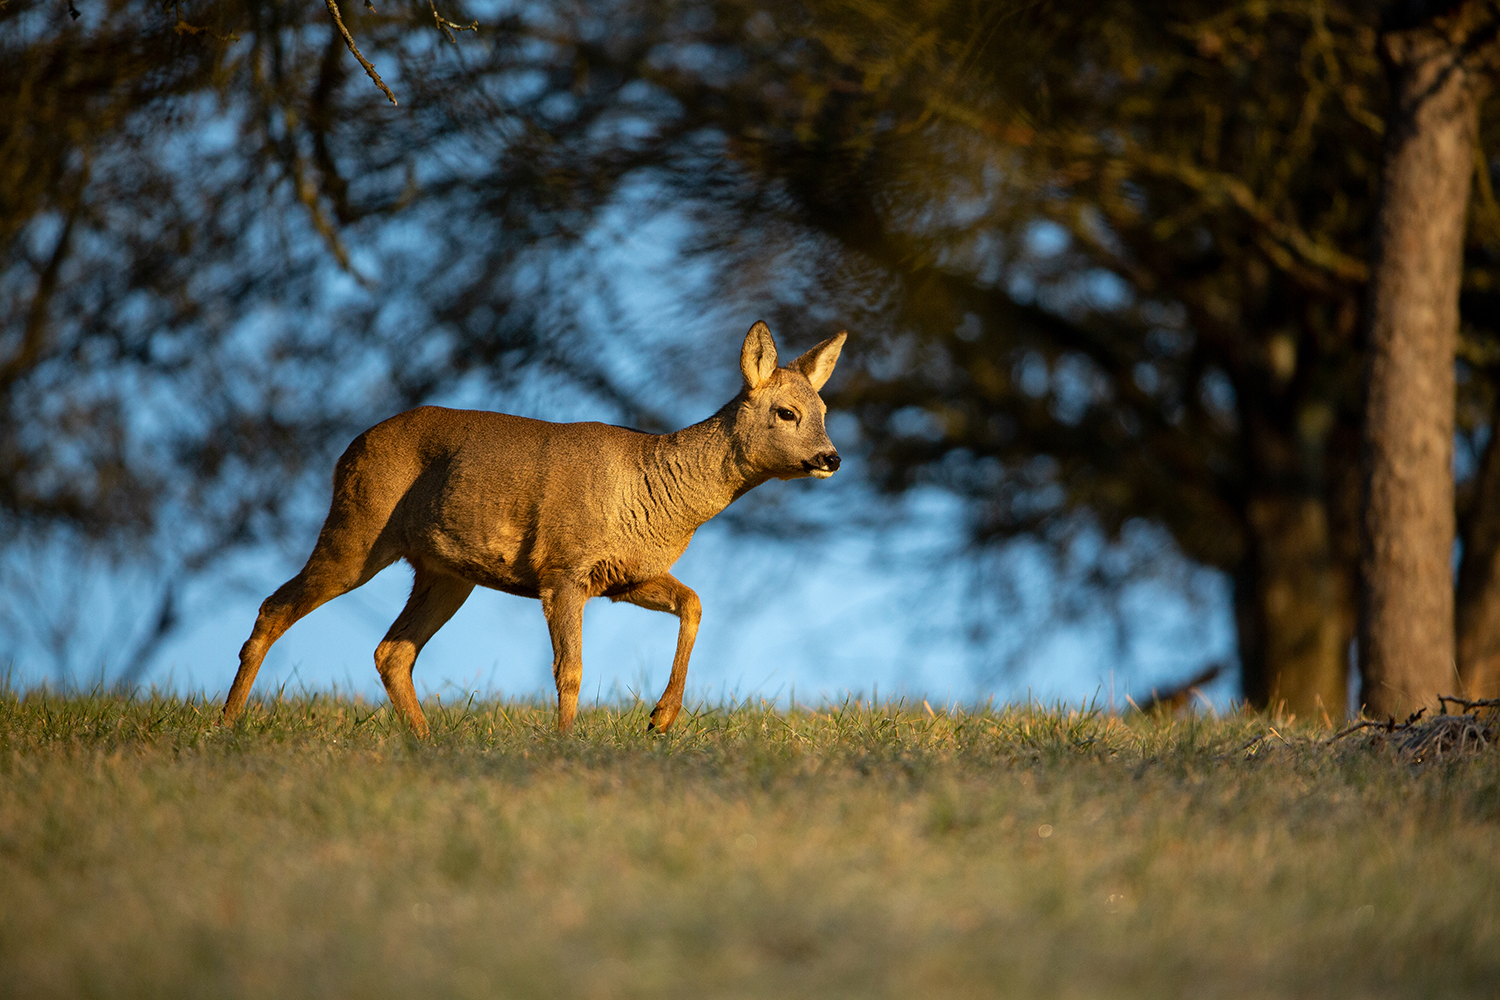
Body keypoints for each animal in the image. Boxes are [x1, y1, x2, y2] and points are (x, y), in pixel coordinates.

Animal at [217, 320, 846, 734]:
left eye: (824, 412)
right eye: (786, 412)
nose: (831, 458)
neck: (654, 492)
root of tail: (347, 450)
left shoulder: (624, 577)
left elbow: (692, 602)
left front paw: (661, 719)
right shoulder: (563, 567)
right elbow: (571, 670)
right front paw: (567, 747)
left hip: (445, 573)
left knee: (391, 651)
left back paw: (427, 744)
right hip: (358, 529)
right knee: (275, 607)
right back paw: (226, 726)